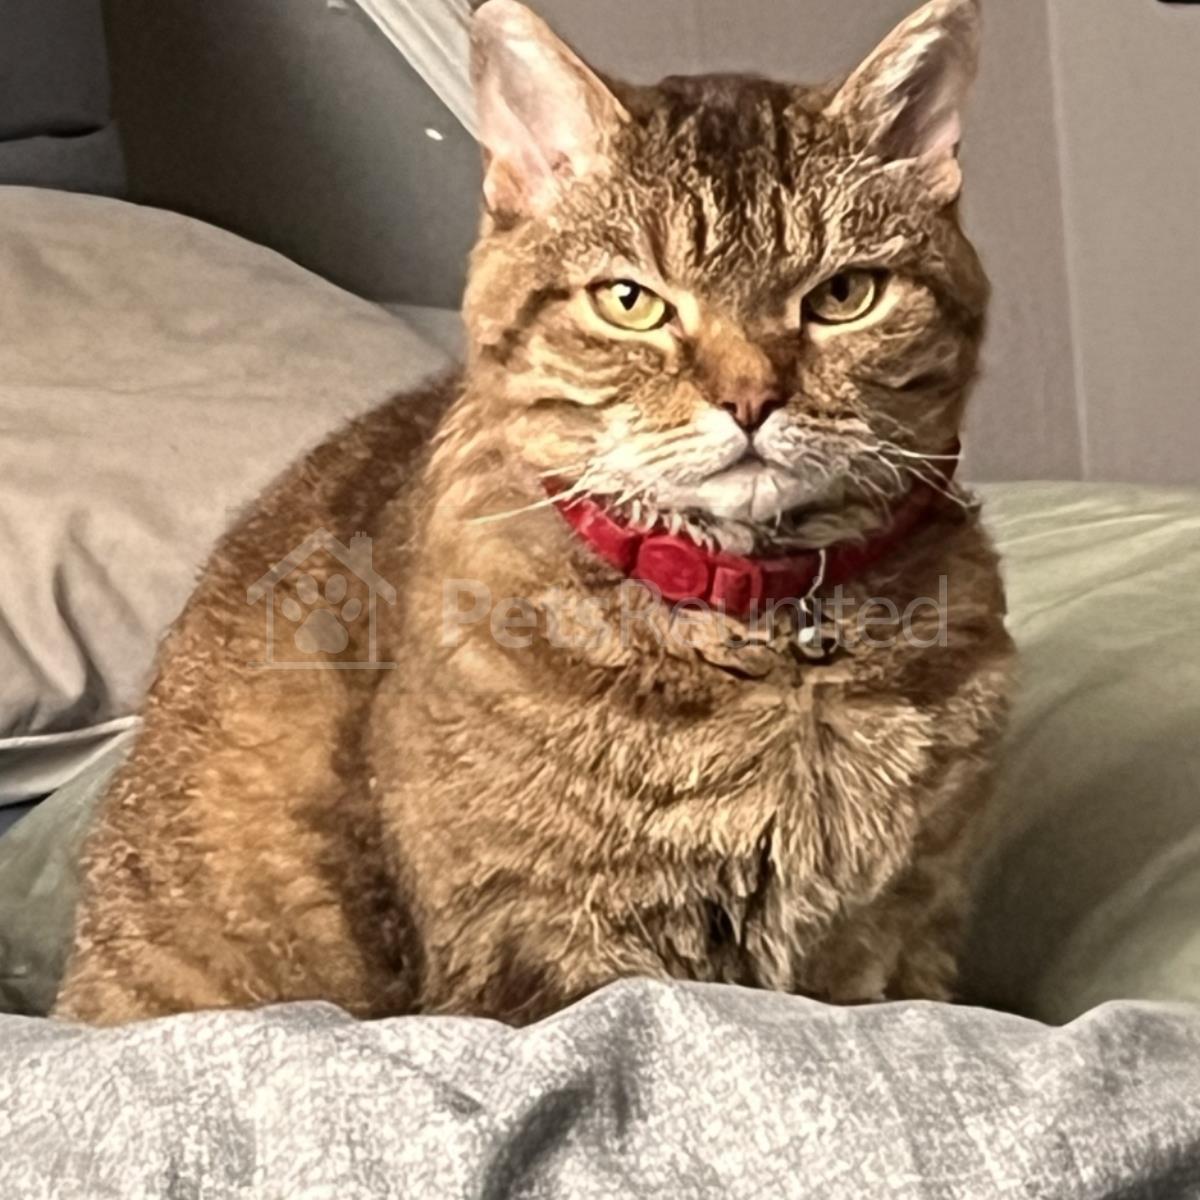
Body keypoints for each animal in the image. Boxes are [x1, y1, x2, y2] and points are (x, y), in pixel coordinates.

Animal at [55, 0, 1013, 1026]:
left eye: (843, 295)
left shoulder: (900, 941)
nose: (751, 398)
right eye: (629, 301)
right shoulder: (549, 954)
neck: (765, 628)